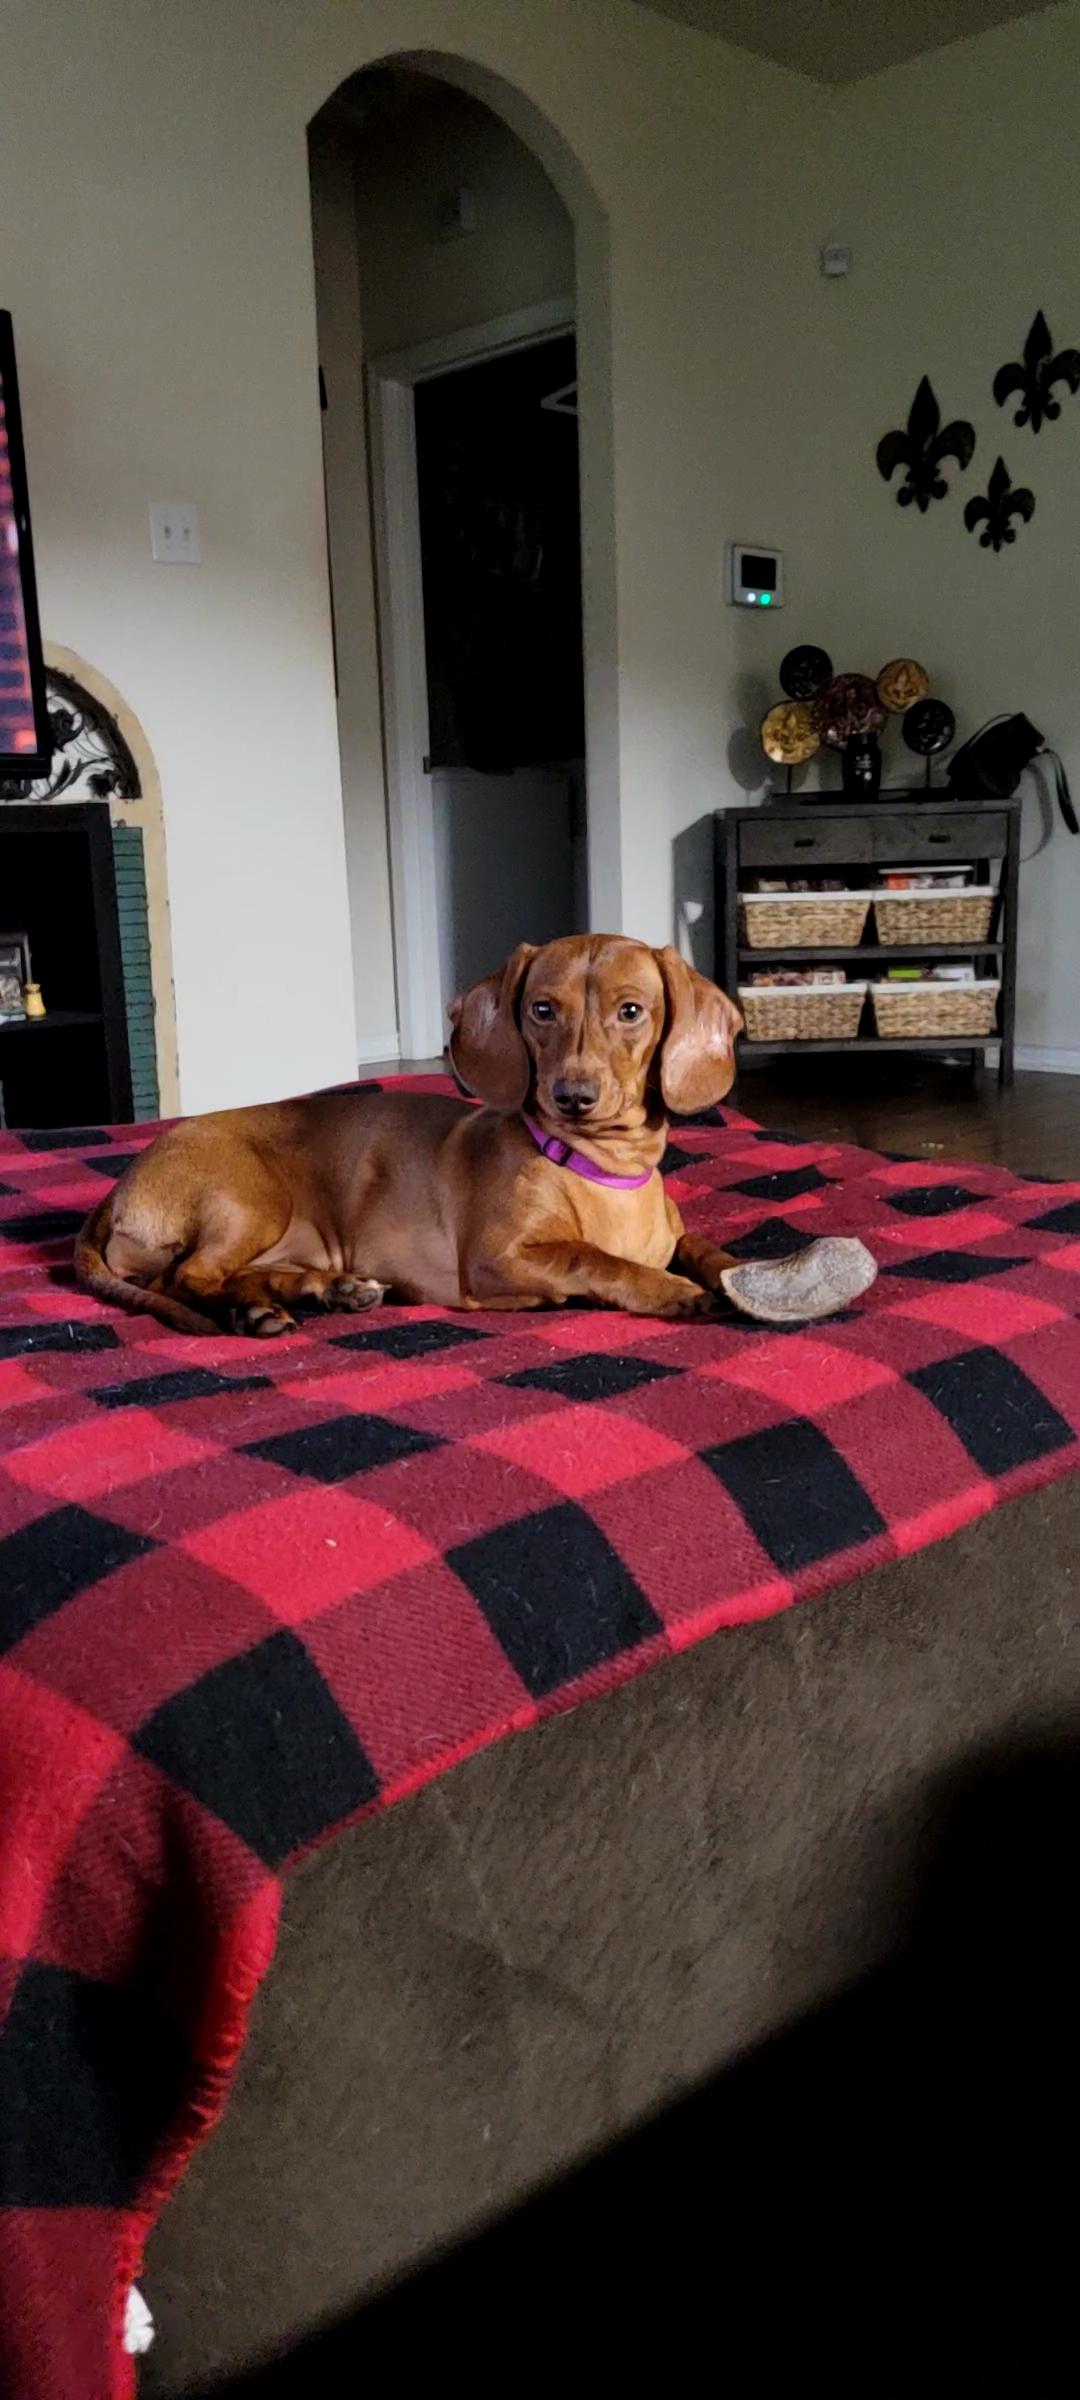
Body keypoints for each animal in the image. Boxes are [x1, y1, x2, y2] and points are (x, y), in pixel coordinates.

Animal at [75, 936, 743, 1336]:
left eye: (631, 1011)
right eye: (542, 1009)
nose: (572, 1096)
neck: (597, 1168)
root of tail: (115, 1192)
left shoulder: (676, 1234)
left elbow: (705, 1248)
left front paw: (741, 1274)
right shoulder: (496, 1259)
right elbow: (591, 1256)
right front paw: (669, 1290)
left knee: (231, 1275)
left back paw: (326, 1291)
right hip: (250, 1202)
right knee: (186, 1279)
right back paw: (261, 1312)